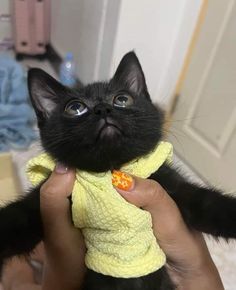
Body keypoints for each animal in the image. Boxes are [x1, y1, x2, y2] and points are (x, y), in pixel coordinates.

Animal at [0, 51, 236, 288]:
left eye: (122, 99)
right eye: (75, 108)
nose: (103, 109)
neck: (111, 169)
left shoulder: (170, 184)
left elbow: (205, 201)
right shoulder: (40, 203)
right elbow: (17, 218)